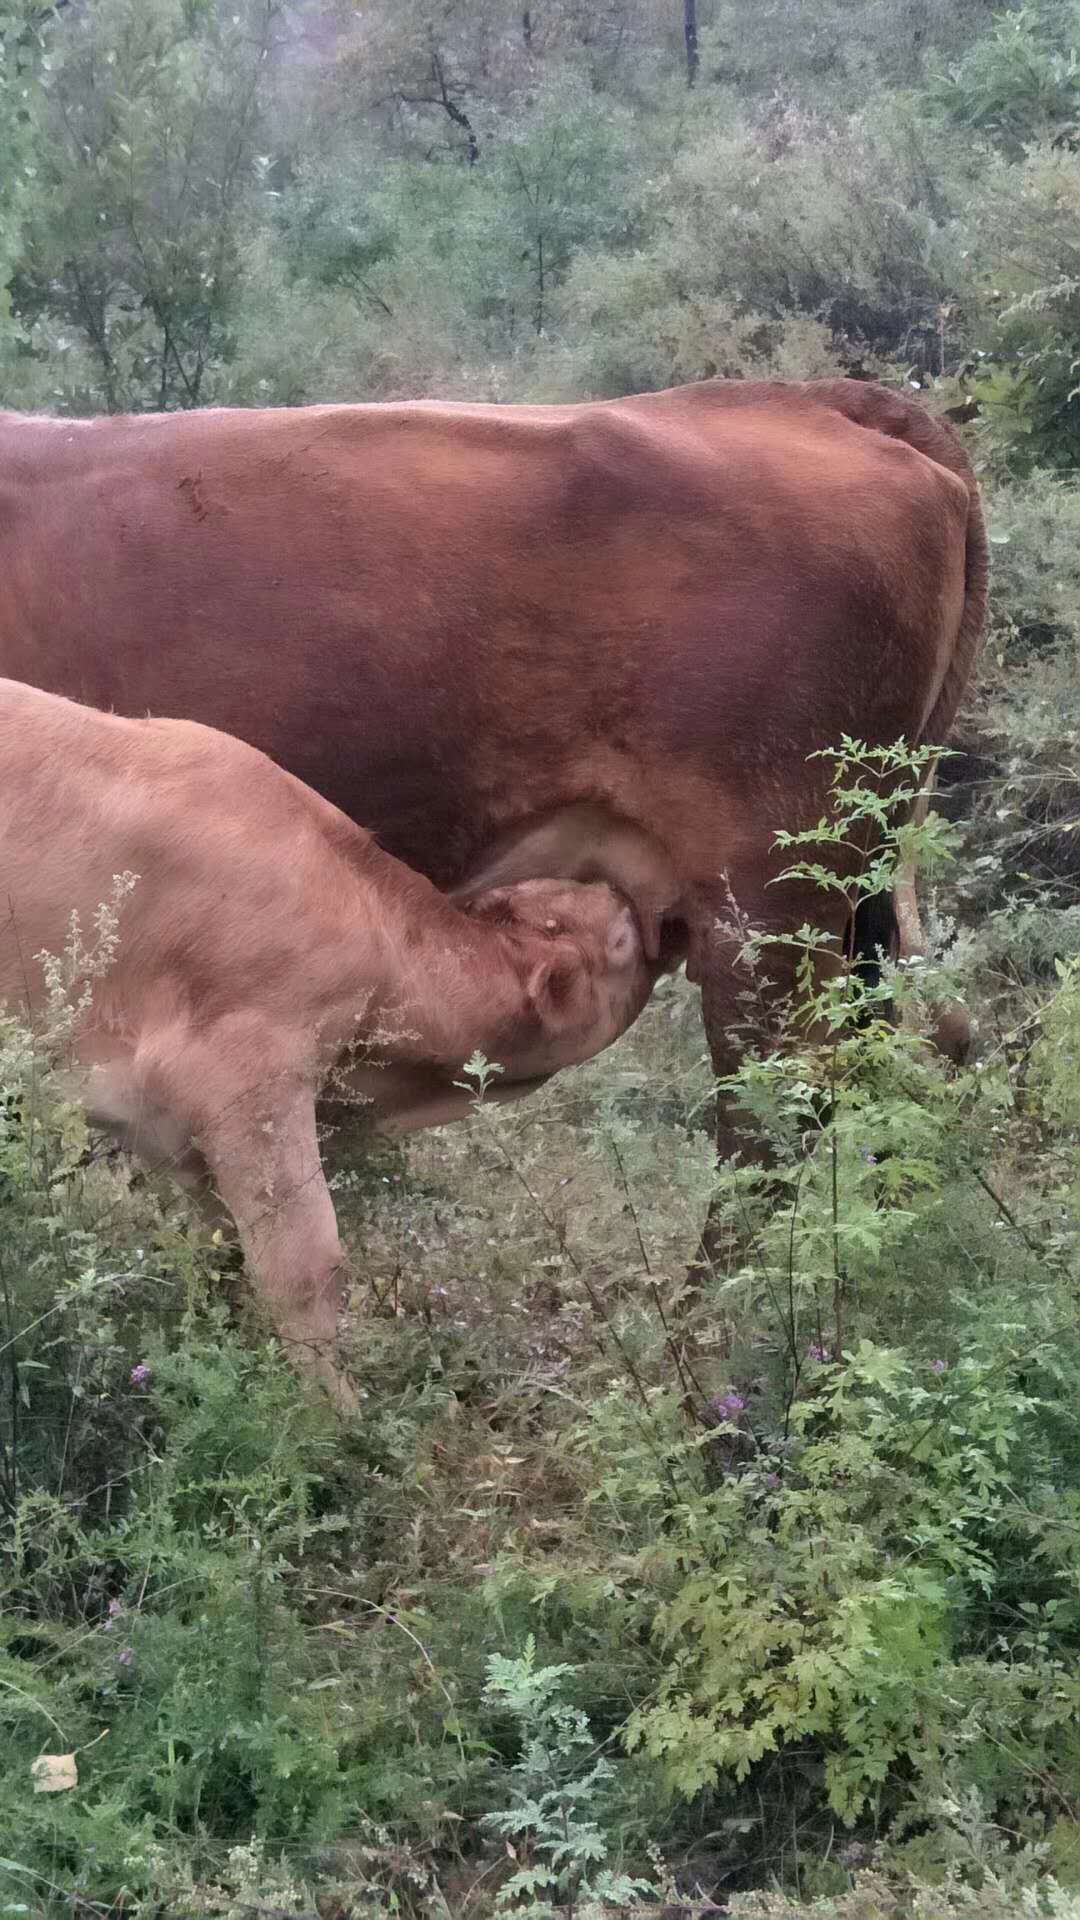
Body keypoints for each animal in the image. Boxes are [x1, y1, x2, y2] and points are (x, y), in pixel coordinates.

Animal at [2, 683, 657, 1405]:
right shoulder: (244, 1073)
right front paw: (330, 1412)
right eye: (621, 939)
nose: (631, 897)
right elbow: (304, 1262)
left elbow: (222, 1252)